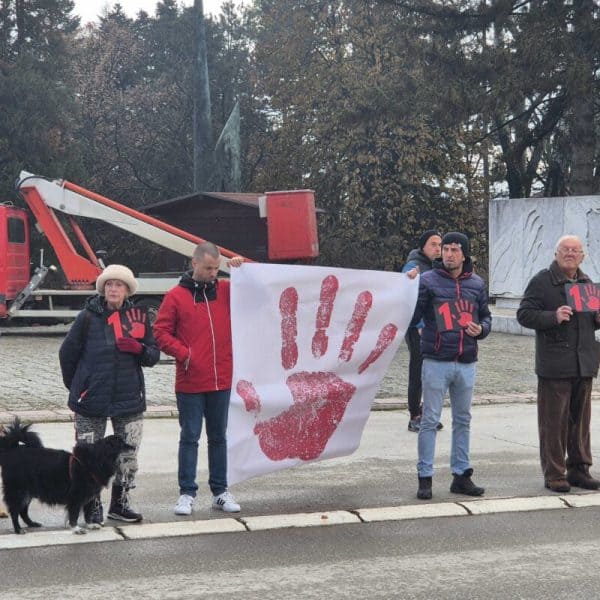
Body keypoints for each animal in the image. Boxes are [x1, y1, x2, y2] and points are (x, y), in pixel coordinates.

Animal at [0, 418, 131, 536]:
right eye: (121, 444)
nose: (133, 447)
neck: (97, 460)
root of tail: (12, 450)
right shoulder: (76, 497)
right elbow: (74, 515)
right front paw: (76, 529)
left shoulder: (90, 497)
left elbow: (88, 513)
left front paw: (90, 525)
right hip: (18, 491)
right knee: (14, 512)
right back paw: (18, 529)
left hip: (27, 492)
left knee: (23, 511)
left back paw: (32, 523)